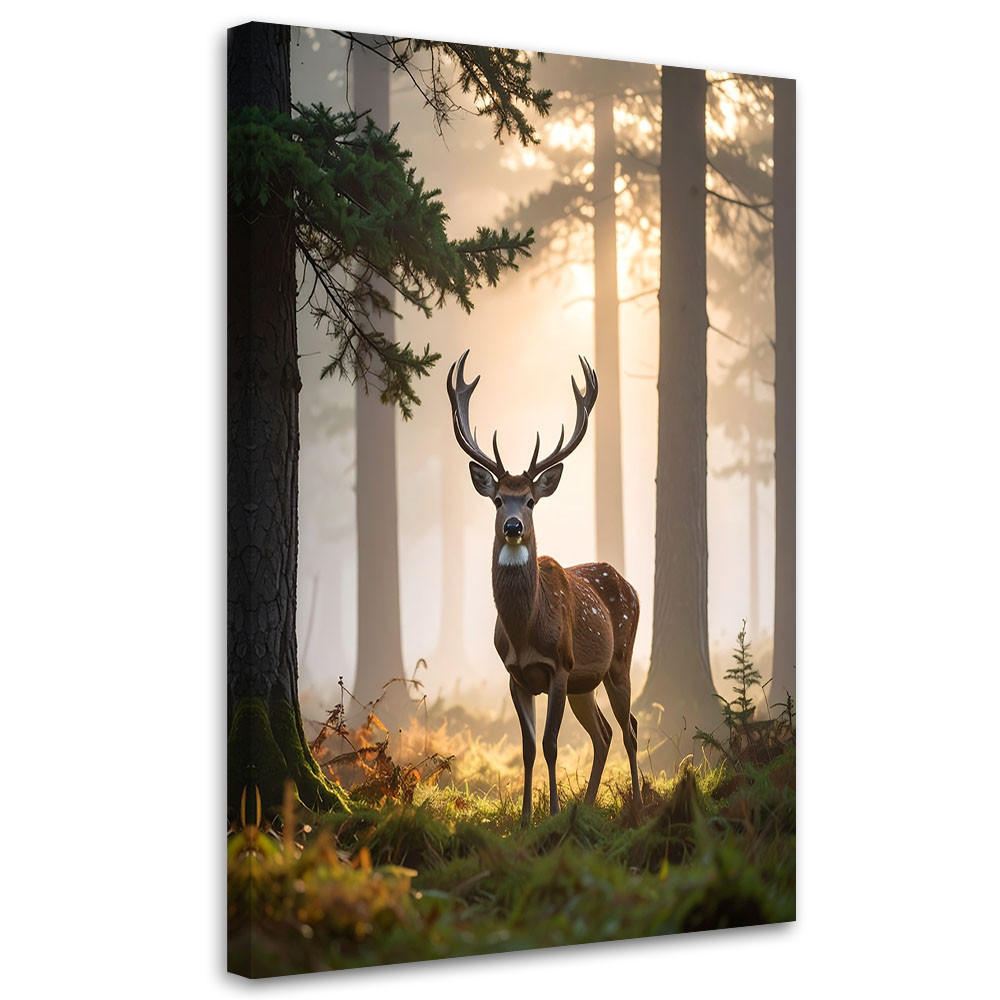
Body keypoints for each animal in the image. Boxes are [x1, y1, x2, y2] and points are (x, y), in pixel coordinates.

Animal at [447, 349, 641, 826]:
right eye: (499, 499)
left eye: (531, 500)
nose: (514, 526)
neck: (525, 630)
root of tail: (630, 585)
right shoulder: (515, 675)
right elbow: (529, 749)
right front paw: (525, 819)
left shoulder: (560, 665)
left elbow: (552, 745)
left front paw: (552, 814)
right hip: (585, 684)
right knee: (604, 733)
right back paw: (587, 806)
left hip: (617, 661)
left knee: (629, 729)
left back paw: (638, 805)